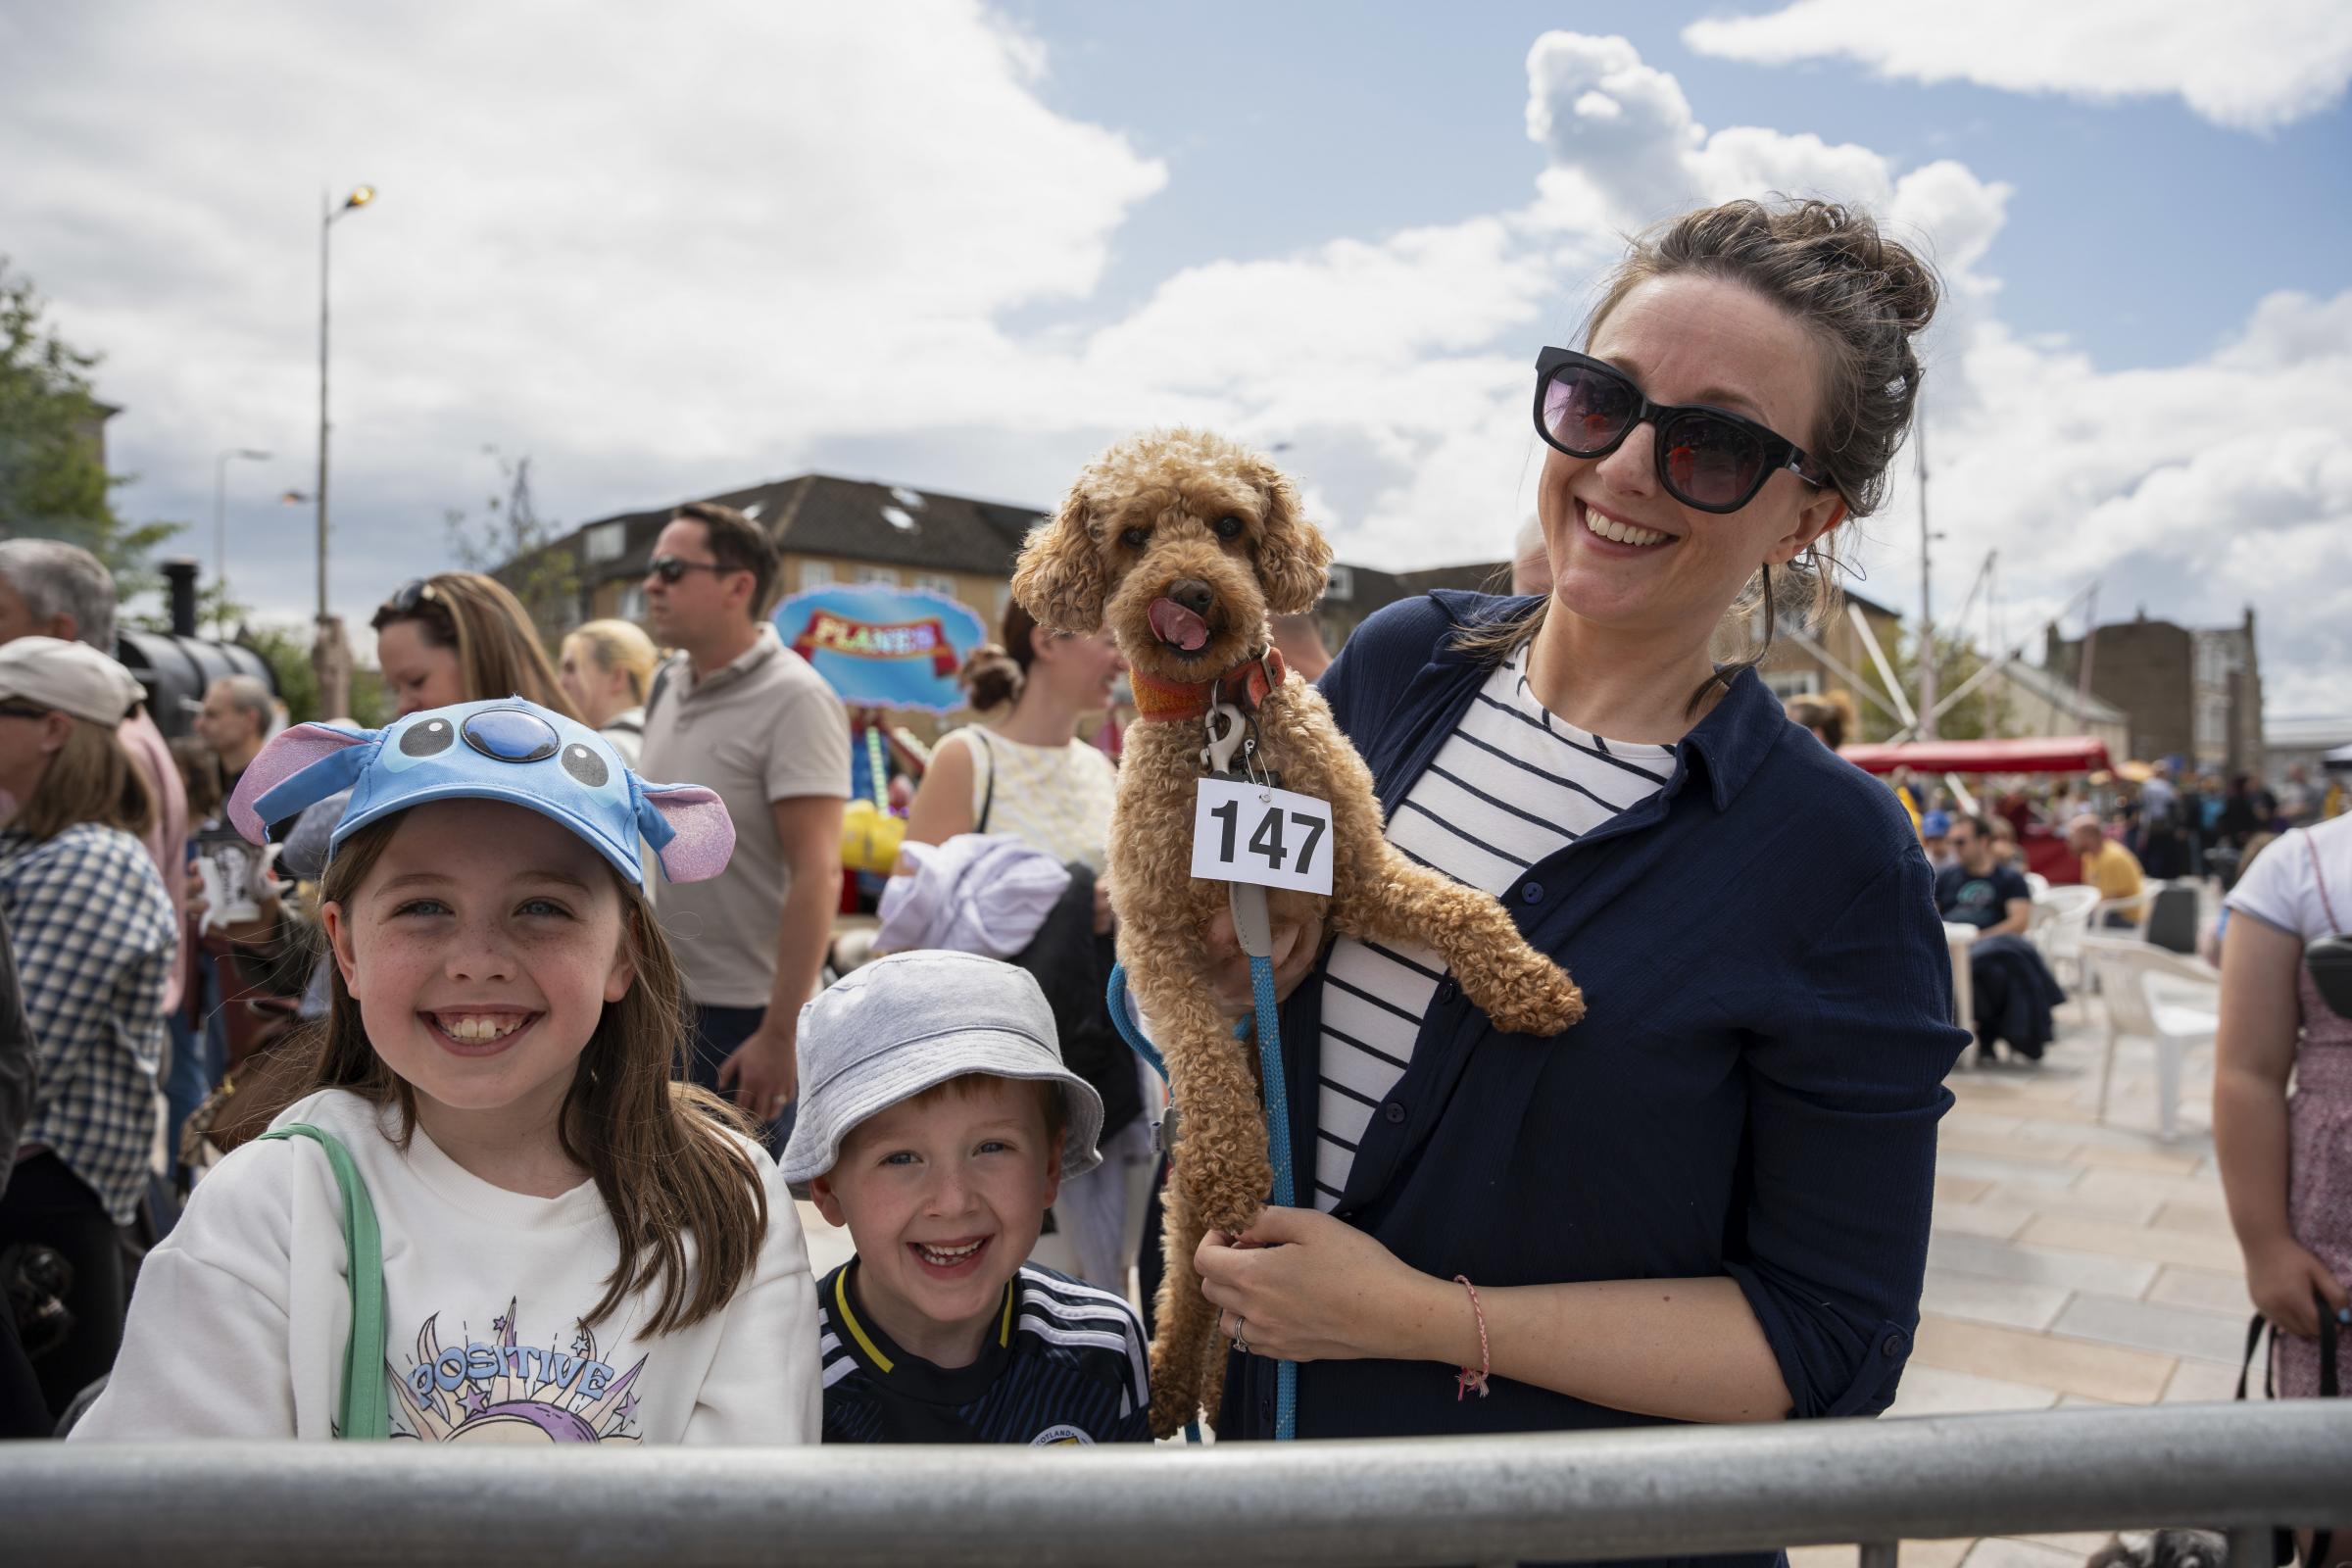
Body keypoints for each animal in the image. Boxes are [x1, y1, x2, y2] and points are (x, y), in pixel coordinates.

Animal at [1011, 429, 1580, 1439]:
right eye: (1133, 536)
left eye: (1231, 526)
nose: (1190, 590)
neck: (1220, 725)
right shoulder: (1153, 945)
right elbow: (1203, 1059)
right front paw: (1244, 1158)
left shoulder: (1353, 876)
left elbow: (1466, 904)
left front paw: (1531, 984)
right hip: (1183, 1169)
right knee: (1190, 1264)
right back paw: (1171, 1386)